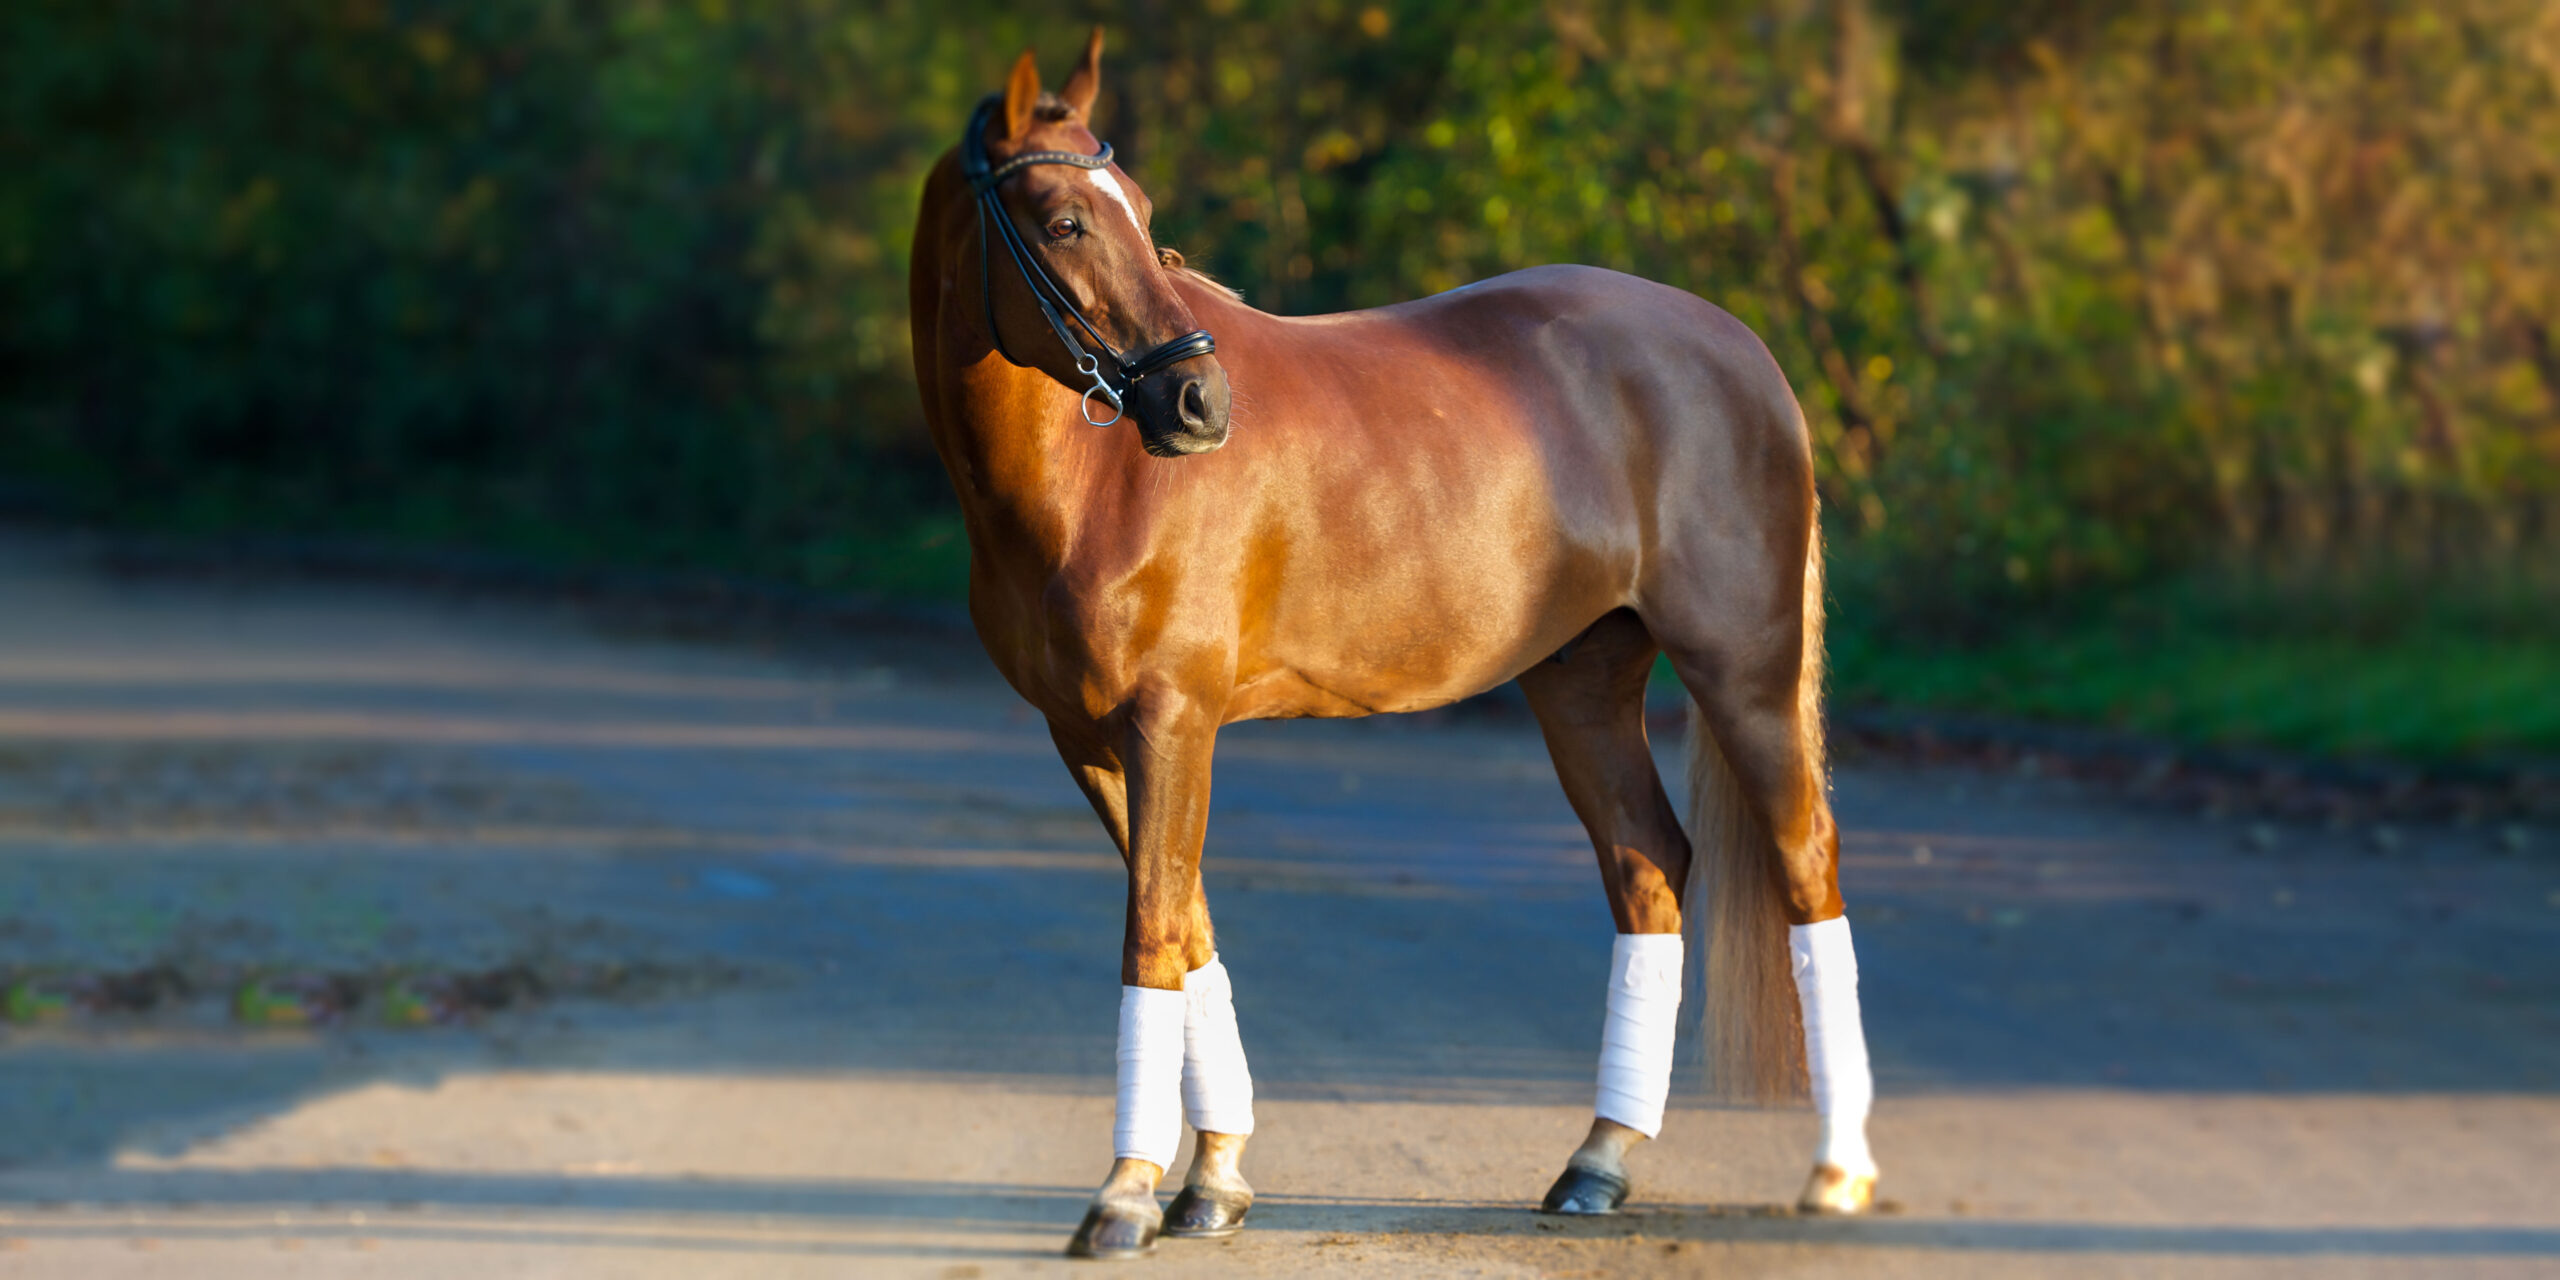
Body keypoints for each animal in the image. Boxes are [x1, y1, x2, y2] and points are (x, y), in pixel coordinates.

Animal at [906, 32, 1884, 1259]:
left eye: (1137, 207)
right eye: (1064, 219)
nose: (1198, 399)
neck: (1093, 484)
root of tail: (1740, 349)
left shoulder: (1170, 721)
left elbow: (1152, 935)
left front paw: (1125, 1194)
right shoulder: (1087, 737)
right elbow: (1188, 928)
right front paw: (1213, 1180)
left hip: (1743, 674)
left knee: (1808, 868)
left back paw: (1838, 1170)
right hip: (1583, 680)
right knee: (1648, 868)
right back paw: (1598, 1163)